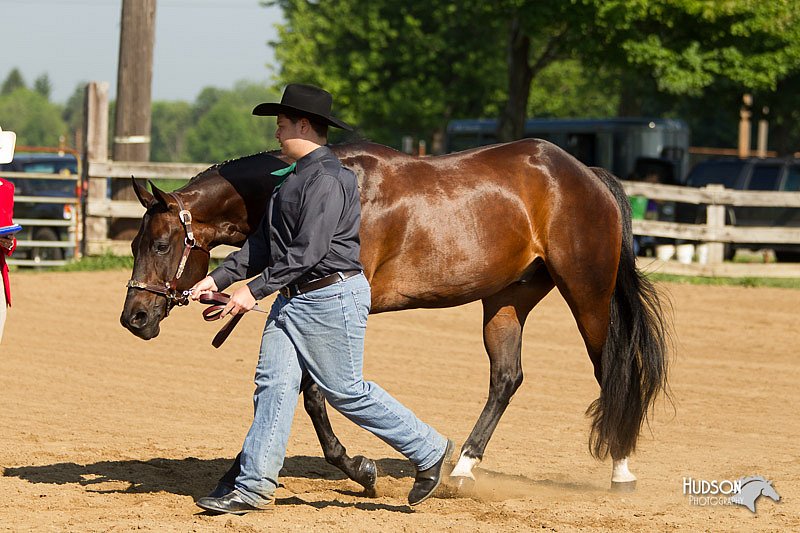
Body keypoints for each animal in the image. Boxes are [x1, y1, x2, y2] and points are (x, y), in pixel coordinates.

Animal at [119, 138, 668, 494]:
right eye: (132, 244)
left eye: (162, 244)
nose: (135, 317)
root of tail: (586, 175)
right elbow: (291, 389)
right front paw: (236, 474)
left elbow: (316, 394)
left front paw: (360, 469)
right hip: (508, 299)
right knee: (506, 378)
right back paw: (460, 469)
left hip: (587, 292)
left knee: (610, 371)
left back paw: (621, 470)